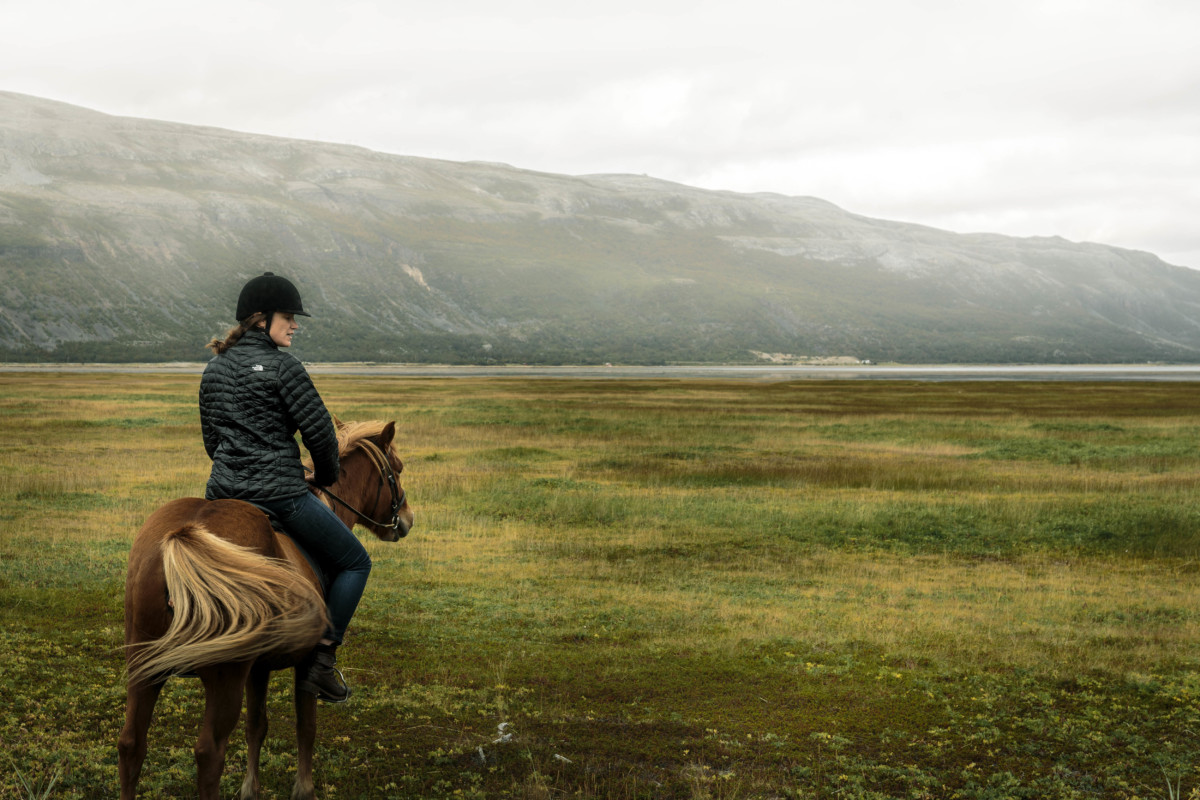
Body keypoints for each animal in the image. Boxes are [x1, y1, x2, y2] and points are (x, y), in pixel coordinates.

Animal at [117, 419, 415, 800]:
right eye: (398, 469)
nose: (406, 518)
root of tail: (184, 534)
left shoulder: (257, 668)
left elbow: (257, 726)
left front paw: (250, 788)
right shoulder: (306, 663)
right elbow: (306, 726)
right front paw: (304, 788)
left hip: (145, 666)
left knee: (131, 745)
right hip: (223, 676)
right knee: (209, 752)